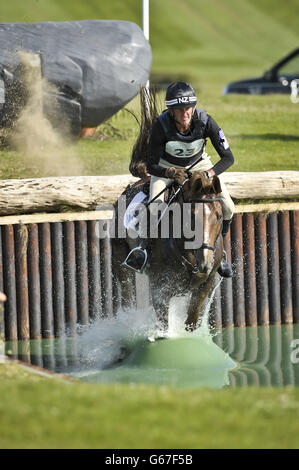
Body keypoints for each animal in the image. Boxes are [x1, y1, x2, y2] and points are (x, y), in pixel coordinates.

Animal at [112, 172, 225, 330]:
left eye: (219, 216)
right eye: (192, 217)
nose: (205, 264)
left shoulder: (205, 284)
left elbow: (191, 321)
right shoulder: (159, 289)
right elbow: (164, 325)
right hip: (120, 257)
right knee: (126, 292)